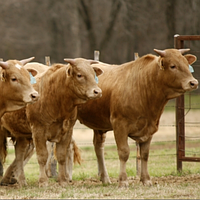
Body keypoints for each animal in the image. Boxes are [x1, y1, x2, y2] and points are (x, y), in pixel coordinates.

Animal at [0, 57, 103, 188]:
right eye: (79, 75)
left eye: (93, 73)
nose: (97, 91)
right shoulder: (38, 131)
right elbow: (42, 156)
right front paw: (43, 181)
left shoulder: (67, 131)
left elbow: (61, 155)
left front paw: (63, 180)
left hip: (21, 134)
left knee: (19, 154)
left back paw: (21, 181)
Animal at [76, 48, 198, 188]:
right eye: (173, 66)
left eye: (187, 64)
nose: (193, 82)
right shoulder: (120, 125)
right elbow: (124, 152)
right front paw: (123, 181)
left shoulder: (150, 127)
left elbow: (144, 154)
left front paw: (146, 180)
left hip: (99, 124)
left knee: (98, 147)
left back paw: (105, 178)